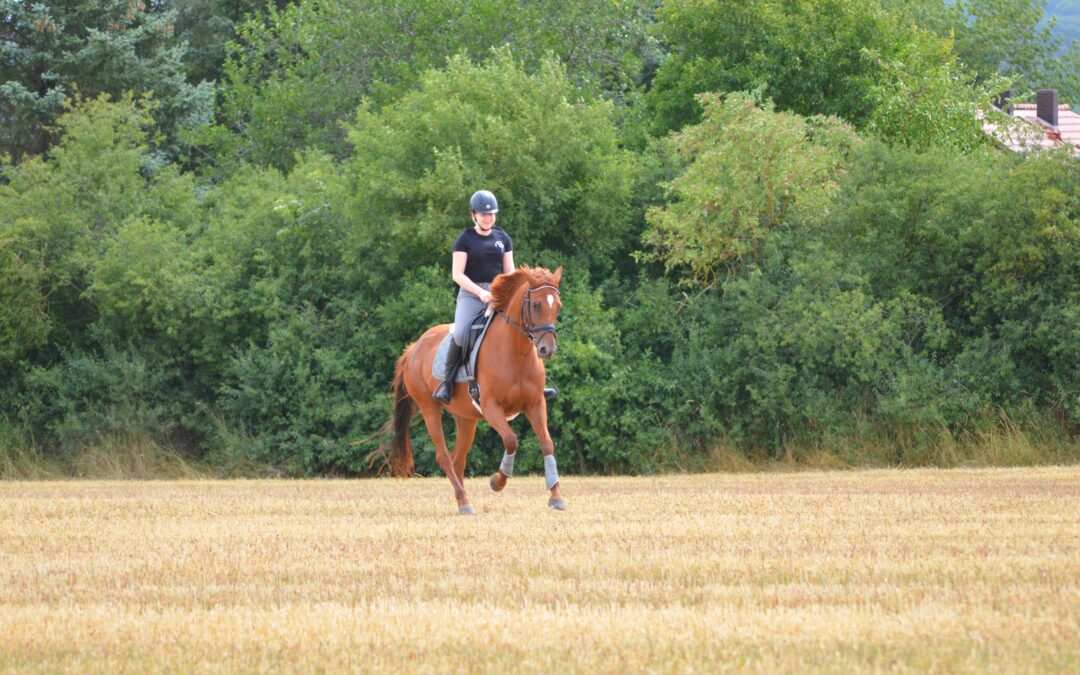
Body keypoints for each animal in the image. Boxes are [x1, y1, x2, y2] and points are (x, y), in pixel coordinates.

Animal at [378, 265, 565, 514]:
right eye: (536, 305)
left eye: (557, 306)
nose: (547, 350)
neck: (516, 352)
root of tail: (413, 348)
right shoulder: (491, 407)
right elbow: (511, 440)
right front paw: (497, 481)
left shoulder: (535, 404)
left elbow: (547, 444)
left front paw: (556, 497)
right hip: (429, 409)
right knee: (444, 456)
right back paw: (465, 502)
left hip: (465, 418)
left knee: (458, 459)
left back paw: (462, 500)